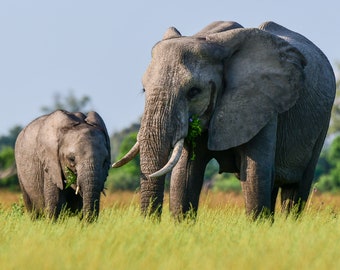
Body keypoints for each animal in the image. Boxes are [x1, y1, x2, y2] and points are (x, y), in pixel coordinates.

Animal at [113, 20, 336, 219]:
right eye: (144, 90)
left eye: (194, 92)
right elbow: (183, 177)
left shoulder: (263, 103)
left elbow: (255, 175)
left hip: (322, 119)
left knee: (296, 188)